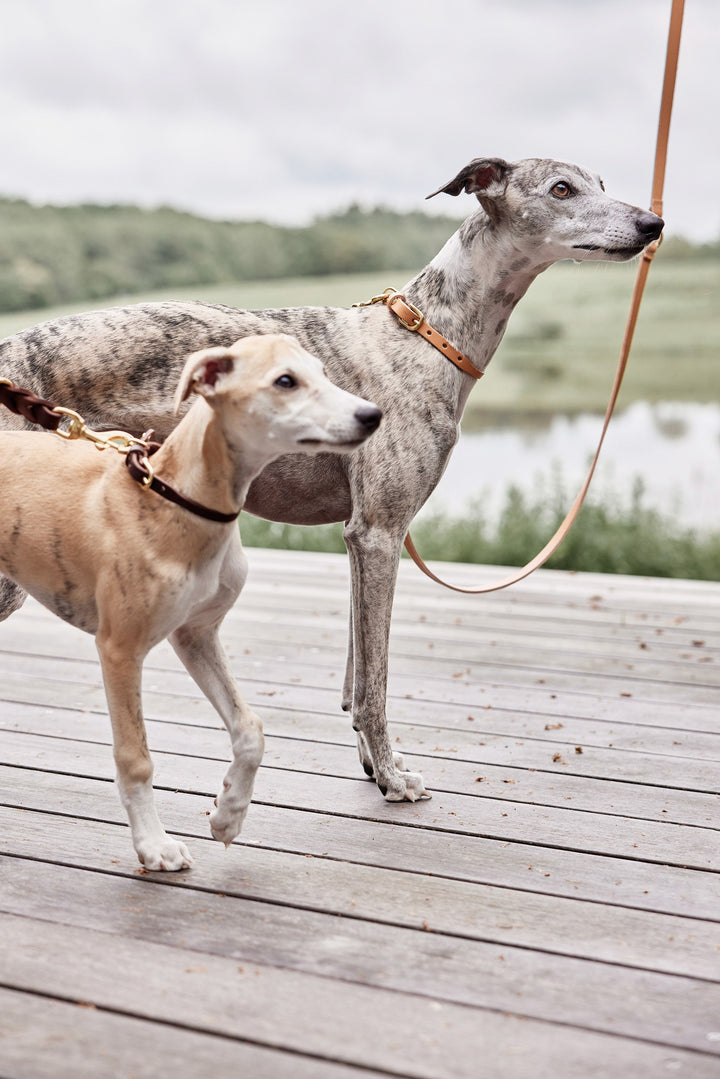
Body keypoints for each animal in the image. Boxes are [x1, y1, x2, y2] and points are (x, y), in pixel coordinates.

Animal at [0, 159, 664, 802]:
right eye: (562, 188)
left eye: (601, 182)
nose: (653, 224)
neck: (430, 337)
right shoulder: (379, 533)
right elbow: (375, 681)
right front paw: (394, 777)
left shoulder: (358, 536)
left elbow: (355, 671)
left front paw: (375, 766)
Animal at [0, 332, 382, 871]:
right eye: (285, 381)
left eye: (323, 373)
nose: (373, 415)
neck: (176, 497)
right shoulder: (119, 650)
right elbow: (136, 758)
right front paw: (153, 845)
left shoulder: (195, 634)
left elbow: (250, 728)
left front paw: (228, 814)